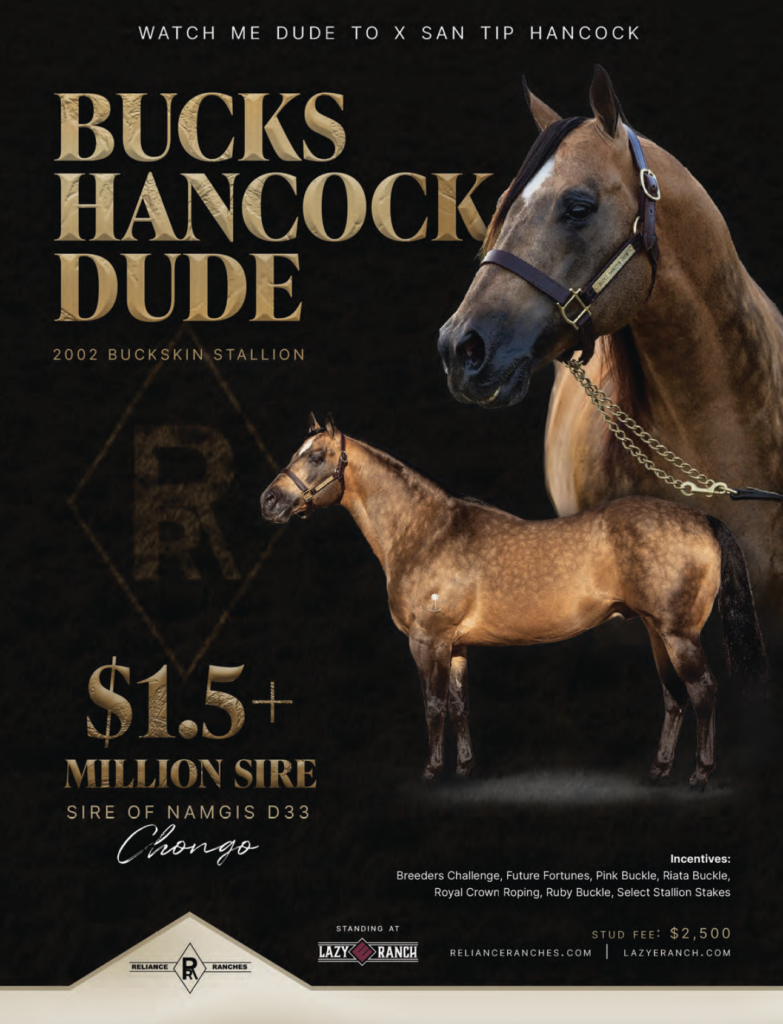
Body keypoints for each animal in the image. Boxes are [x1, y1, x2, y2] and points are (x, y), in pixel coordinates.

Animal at [260, 413, 768, 787]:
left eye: (317, 456)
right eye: (296, 453)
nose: (269, 501)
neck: (427, 533)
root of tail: (701, 518)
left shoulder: (427, 641)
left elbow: (433, 704)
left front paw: (432, 771)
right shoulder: (456, 645)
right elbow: (460, 704)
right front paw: (465, 768)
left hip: (679, 635)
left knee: (702, 691)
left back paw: (700, 774)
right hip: (657, 633)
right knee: (674, 696)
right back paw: (660, 770)